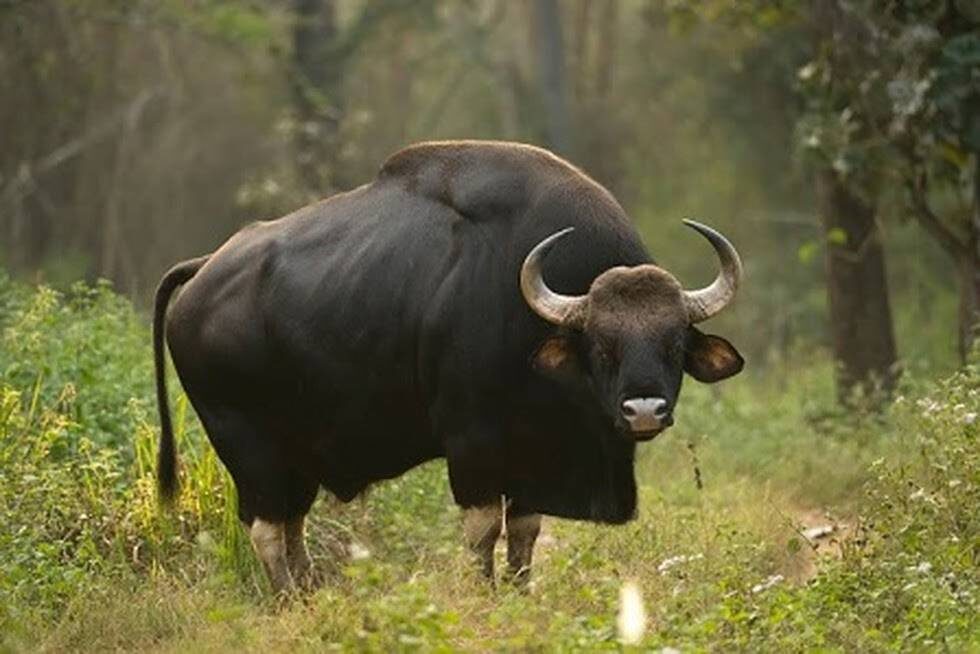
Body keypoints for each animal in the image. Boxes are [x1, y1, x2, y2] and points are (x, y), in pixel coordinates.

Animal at [154, 140, 743, 592]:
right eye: (602, 345)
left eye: (673, 343)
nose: (644, 409)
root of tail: (204, 268)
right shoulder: (472, 446)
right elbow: (483, 532)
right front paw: (485, 593)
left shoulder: (533, 459)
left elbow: (524, 533)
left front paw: (518, 594)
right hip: (249, 449)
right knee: (268, 531)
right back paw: (288, 600)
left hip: (295, 456)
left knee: (292, 524)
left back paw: (310, 594)